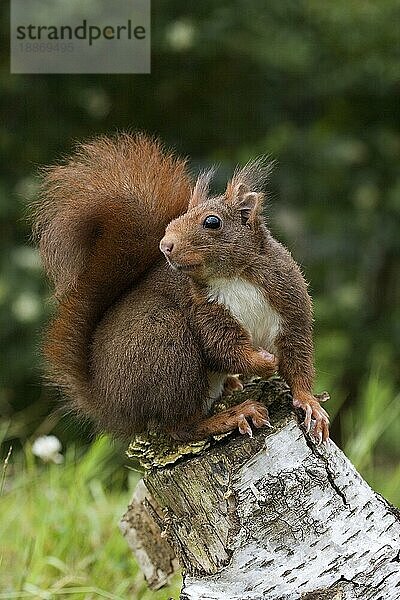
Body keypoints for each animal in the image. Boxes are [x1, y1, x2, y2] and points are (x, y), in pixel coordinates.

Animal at [33, 136, 328, 446]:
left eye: (212, 222)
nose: (165, 245)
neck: (233, 276)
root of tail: (108, 400)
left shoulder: (289, 301)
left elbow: (298, 358)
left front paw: (310, 404)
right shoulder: (203, 308)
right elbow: (222, 348)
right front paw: (264, 362)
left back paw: (232, 386)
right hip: (166, 345)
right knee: (180, 427)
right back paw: (233, 415)